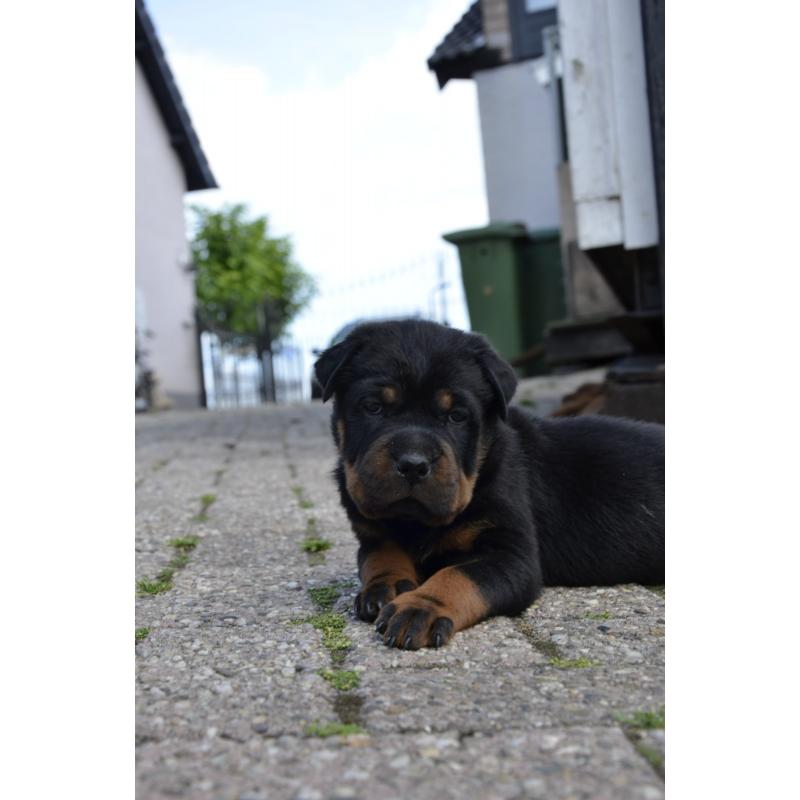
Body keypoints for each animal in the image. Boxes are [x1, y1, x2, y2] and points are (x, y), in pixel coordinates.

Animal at [312, 318, 664, 648]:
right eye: (373, 407)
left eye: (457, 416)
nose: (413, 464)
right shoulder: (371, 535)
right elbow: (380, 555)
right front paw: (388, 585)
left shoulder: (512, 555)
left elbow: (459, 574)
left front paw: (420, 606)